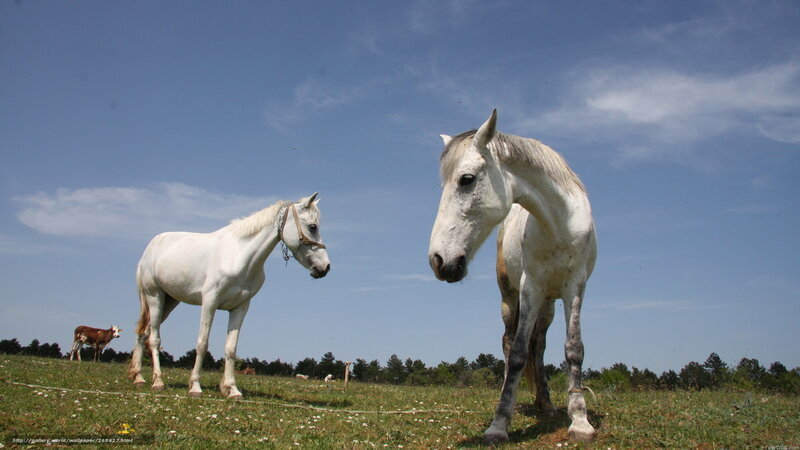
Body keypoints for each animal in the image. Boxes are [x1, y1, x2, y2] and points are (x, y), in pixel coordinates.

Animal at [128, 193, 330, 399]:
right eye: (312, 226)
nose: (325, 267)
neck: (239, 255)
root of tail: (151, 247)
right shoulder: (209, 303)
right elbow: (202, 344)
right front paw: (195, 386)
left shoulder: (239, 308)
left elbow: (231, 349)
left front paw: (232, 389)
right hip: (155, 297)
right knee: (154, 338)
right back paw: (157, 381)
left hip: (170, 301)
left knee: (143, 333)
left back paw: (139, 377)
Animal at [428, 110, 597, 444]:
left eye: (466, 179)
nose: (438, 261)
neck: (558, 226)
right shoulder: (529, 287)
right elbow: (518, 353)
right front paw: (498, 424)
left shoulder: (575, 287)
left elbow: (573, 348)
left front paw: (580, 420)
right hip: (510, 298)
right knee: (509, 344)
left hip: (548, 303)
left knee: (539, 346)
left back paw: (546, 404)